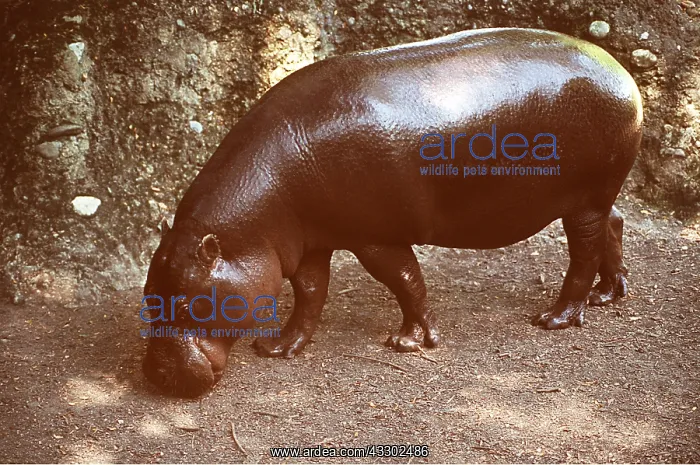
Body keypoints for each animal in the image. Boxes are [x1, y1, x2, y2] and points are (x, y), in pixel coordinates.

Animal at [141, 27, 643, 397]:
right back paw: (607, 294)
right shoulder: (310, 243)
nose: (155, 375)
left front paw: (408, 342)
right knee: (613, 226)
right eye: (148, 293)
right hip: (596, 197)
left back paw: (557, 317)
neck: (247, 230)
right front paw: (278, 347)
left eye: (185, 301)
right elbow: (309, 293)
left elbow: (404, 280)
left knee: (583, 251)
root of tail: (623, 73)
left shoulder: (374, 237)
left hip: (584, 200)